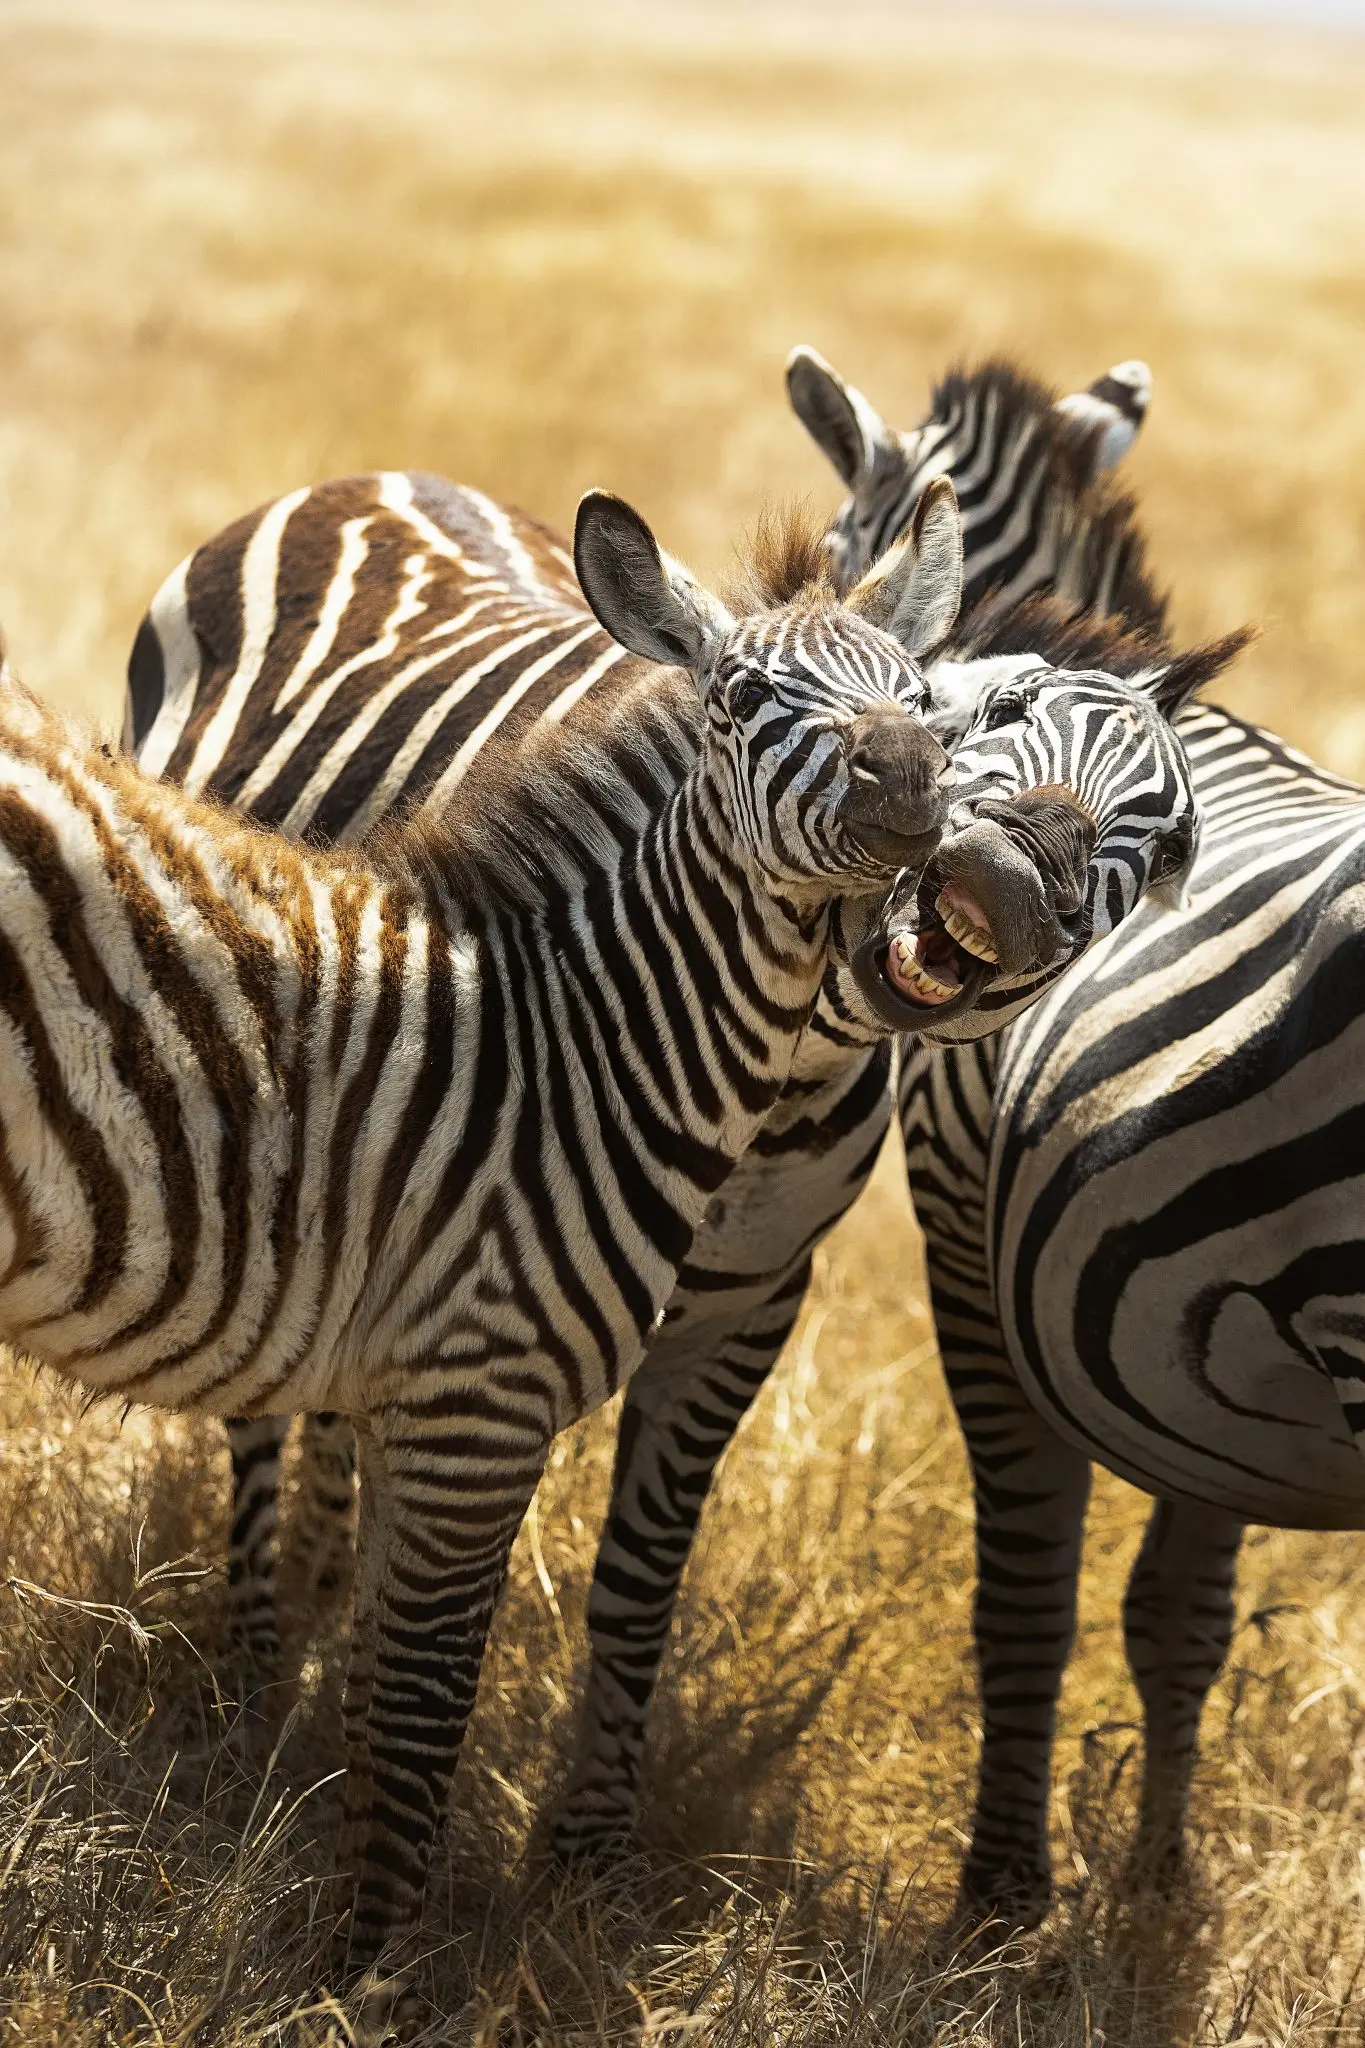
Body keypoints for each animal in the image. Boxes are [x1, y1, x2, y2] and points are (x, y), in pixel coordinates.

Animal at [118, 357, 1240, 1880]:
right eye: (986, 716)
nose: (985, 891)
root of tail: (377, 478)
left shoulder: (745, 1305)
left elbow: (638, 1578)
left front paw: (587, 1851)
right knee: (263, 1418)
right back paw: (253, 1674)